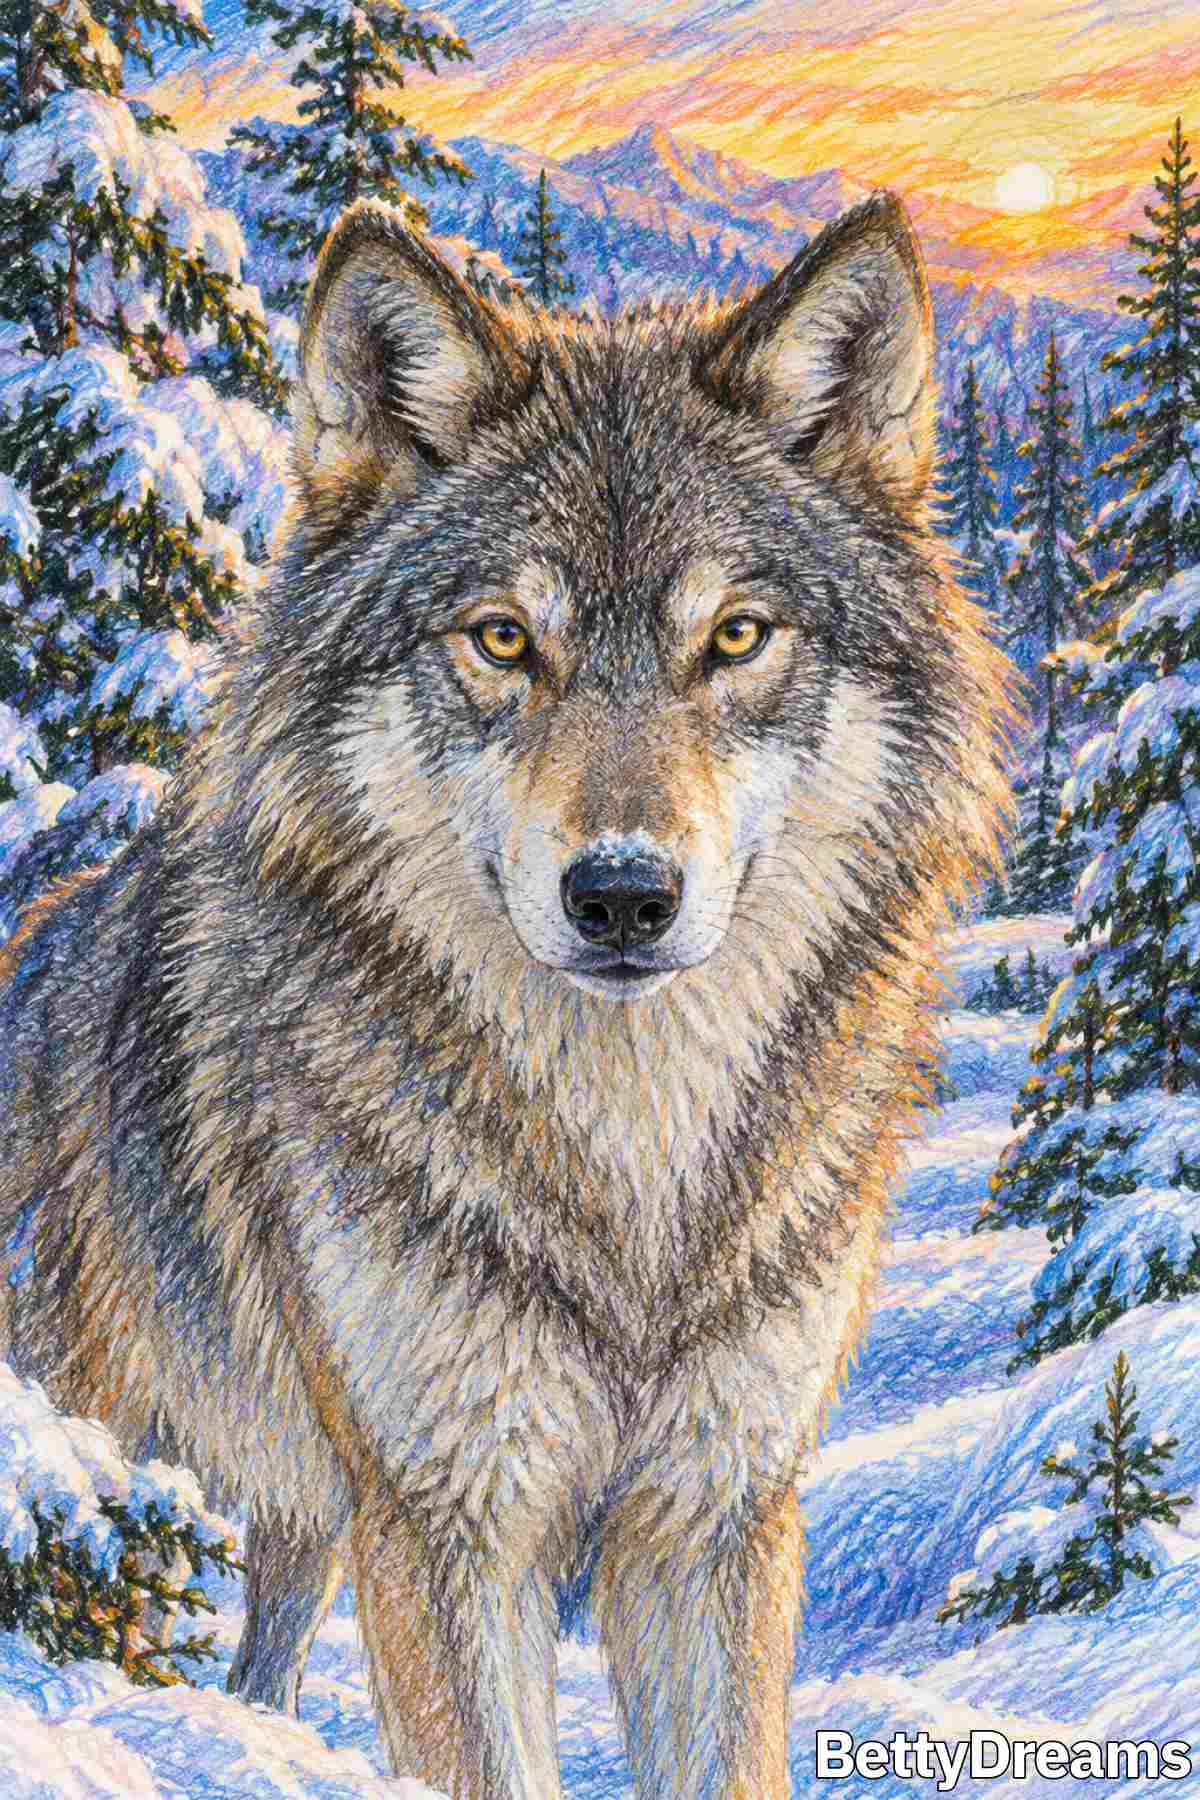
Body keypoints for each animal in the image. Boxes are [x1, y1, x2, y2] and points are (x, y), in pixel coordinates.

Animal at [0, 190, 1012, 1797]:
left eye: (735, 637)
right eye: (501, 638)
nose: (623, 895)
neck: (633, 1175)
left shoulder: (713, 1520)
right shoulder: (448, 1525)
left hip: (298, 1527)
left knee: (264, 1661)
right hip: (145, 1484)